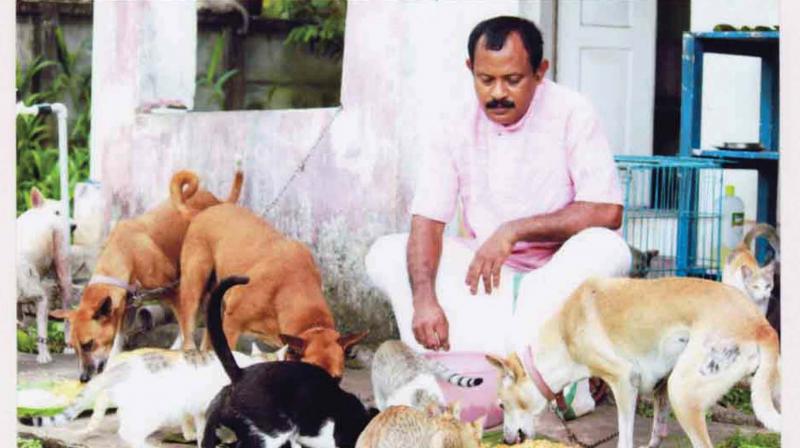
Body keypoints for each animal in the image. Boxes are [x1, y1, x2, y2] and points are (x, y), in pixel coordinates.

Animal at [17, 187, 73, 362]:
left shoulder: (41, 298)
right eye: (57, 212)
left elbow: (42, 331)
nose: (73, 225)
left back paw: (69, 347)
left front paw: (44, 357)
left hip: (63, 271)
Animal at [51, 166, 242, 384]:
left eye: (88, 344)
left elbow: (185, 324)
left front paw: (187, 350)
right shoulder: (125, 307)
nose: (83, 378)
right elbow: (117, 340)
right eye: (73, 348)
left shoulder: (174, 292)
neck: (125, 255)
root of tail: (218, 201)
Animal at [484, 276, 780, 448]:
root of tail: (760, 325)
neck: (565, 334)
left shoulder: (624, 381)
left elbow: (625, 439)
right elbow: (657, 434)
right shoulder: (659, 388)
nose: (505, 440)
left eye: (501, 405)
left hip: (683, 393)